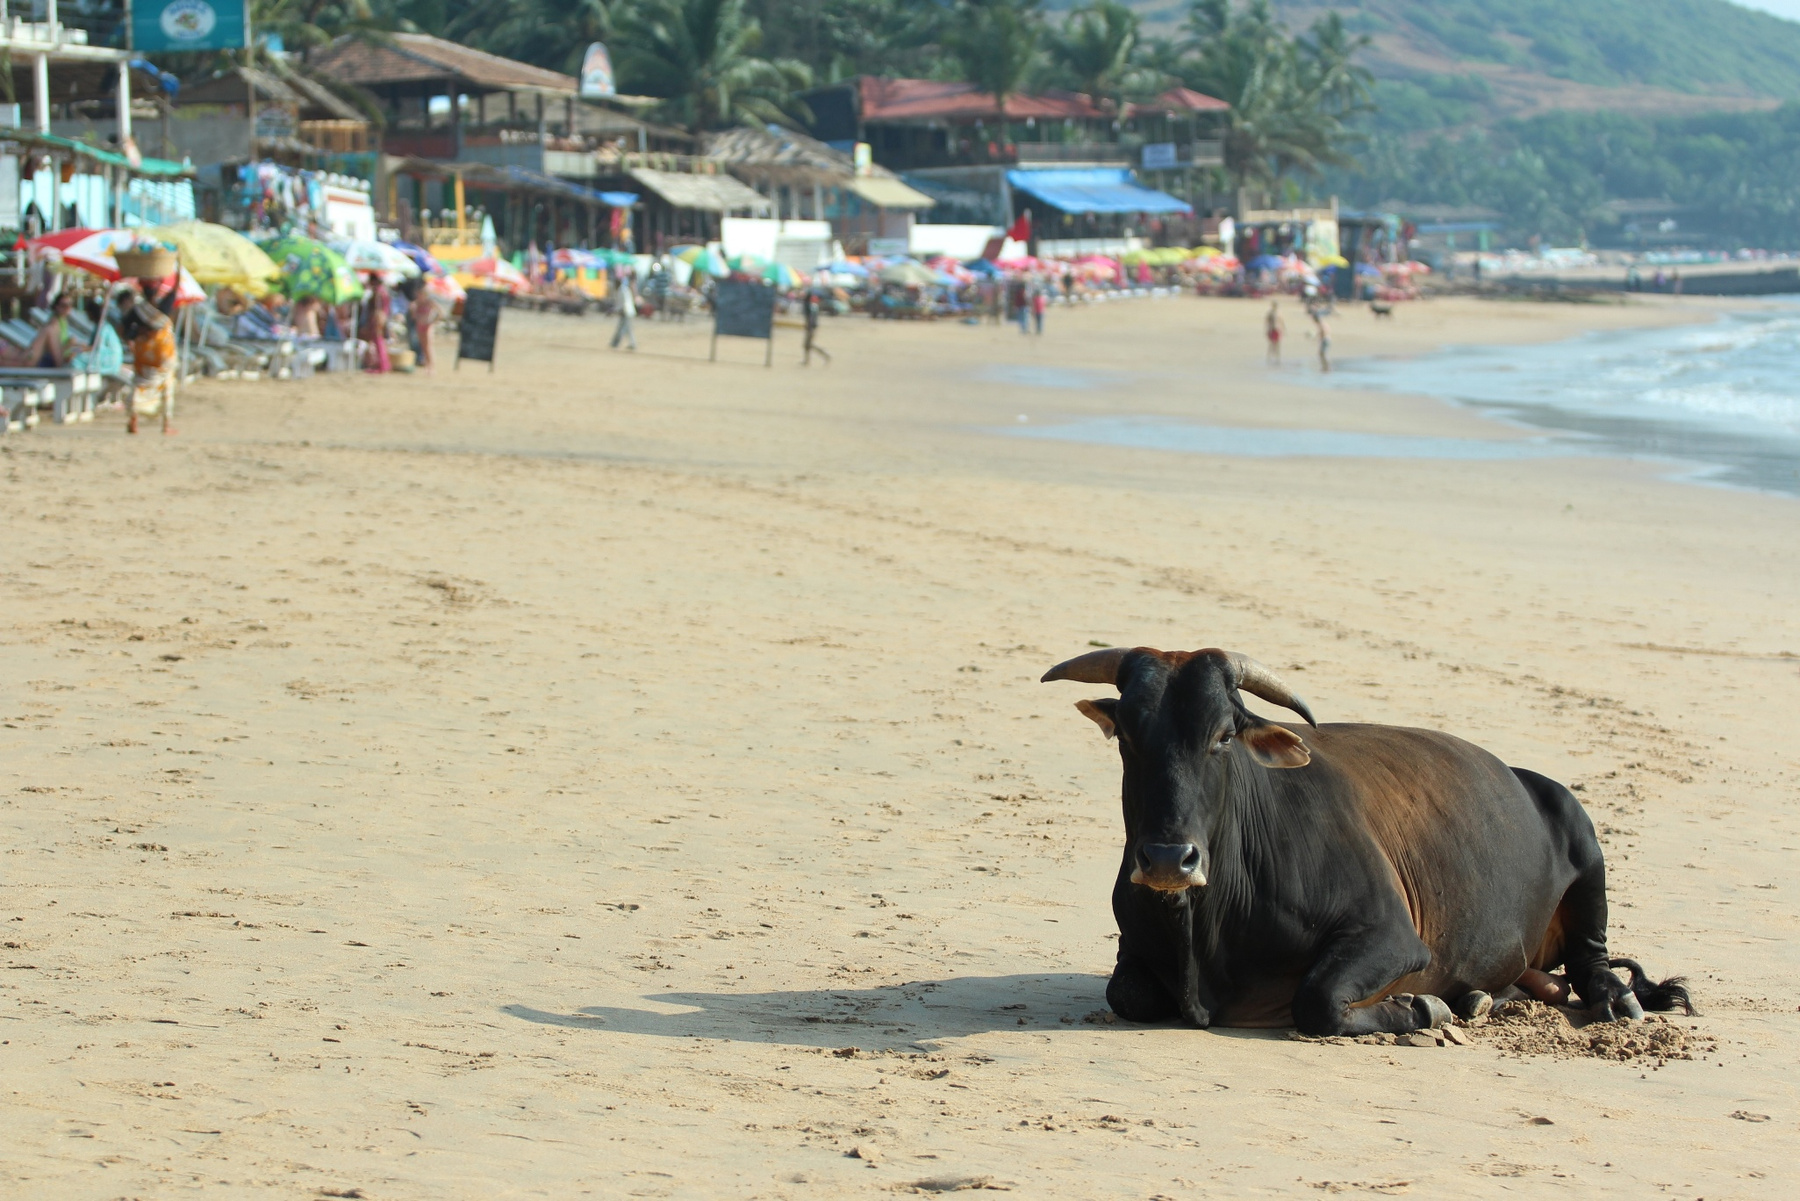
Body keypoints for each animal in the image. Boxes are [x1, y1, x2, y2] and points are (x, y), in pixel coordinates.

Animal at [1044, 648, 1684, 1037]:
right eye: (1128, 734)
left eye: (1223, 735)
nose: (1168, 860)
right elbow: (1127, 993)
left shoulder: (1391, 936)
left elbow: (1319, 1001)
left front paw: (1421, 1005)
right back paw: (1481, 998)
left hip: (1585, 840)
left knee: (1591, 957)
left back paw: (1610, 998)